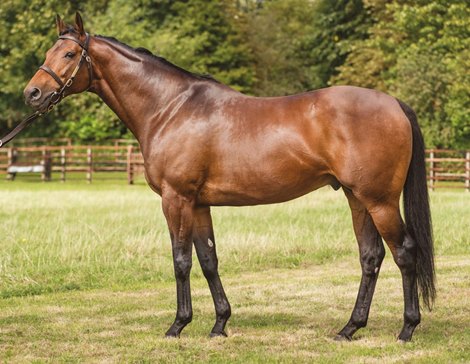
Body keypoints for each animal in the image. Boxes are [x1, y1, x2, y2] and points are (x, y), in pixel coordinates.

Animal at [22, 12, 434, 342]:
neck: (170, 108)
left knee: (404, 252)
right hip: (356, 197)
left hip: (379, 200)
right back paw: (349, 328)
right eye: (49, 52)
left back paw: (407, 329)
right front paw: (219, 324)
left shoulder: (176, 199)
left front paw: (178, 325)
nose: (33, 93)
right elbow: (208, 260)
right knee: (371, 256)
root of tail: (395, 103)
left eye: (69, 54)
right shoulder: (199, 204)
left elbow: (181, 261)